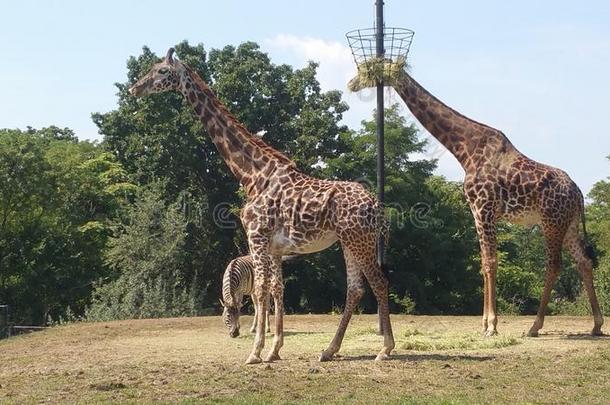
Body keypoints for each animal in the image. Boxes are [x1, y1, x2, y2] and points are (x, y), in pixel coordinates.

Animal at [129, 48, 394, 362]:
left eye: (161, 71)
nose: (134, 89)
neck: (252, 175)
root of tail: (377, 205)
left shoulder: (255, 237)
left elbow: (260, 290)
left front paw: (255, 351)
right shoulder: (275, 248)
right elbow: (276, 289)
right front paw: (274, 349)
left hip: (359, 240)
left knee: (378, 282)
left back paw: (385, 348)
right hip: (349, 242)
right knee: (355, 289)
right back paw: (329, 350)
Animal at [350, 67, 600, 338]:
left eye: (365, 69)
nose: (352, 84)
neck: (464, 149)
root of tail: (578, 193)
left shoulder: (484, 208)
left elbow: (491, 262)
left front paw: (491, 325)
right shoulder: (476, 212)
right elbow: (483, 263)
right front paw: (484, 323)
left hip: (551, 222)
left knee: (554, 265)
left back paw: (535, 326)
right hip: (569, 224)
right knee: (584, 261)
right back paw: (597, 324)